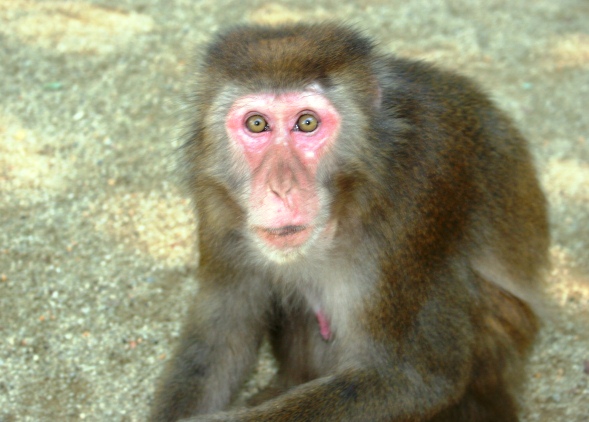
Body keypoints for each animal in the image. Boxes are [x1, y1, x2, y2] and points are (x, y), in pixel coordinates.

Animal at [149, 23, 548, 422]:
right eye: (257, 124)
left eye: (307, 123)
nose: (281, 187)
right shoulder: (216, 206)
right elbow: (220, 340)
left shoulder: (419, 195)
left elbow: (413, 379)